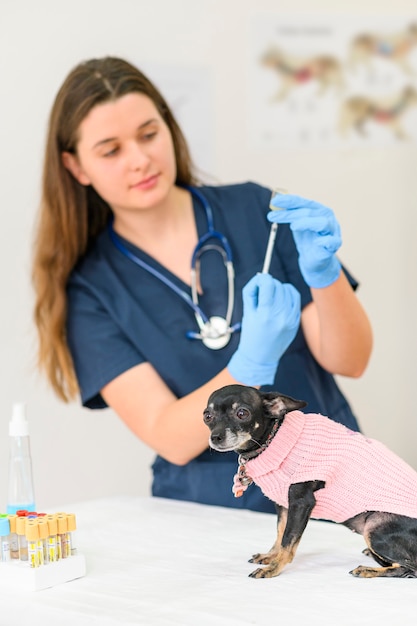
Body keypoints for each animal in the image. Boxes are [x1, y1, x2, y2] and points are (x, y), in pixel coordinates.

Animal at [203, 382, 416, 576]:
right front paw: (271, 556)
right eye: (207, 416)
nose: (216, 437)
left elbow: (288, 539)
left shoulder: (301, 502)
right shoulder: (284, 505)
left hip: (373, 527)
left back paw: (369, 570)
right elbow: (280, 533)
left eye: (242, 413)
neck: (274, 438)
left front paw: (274, 568)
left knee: (408, 569)